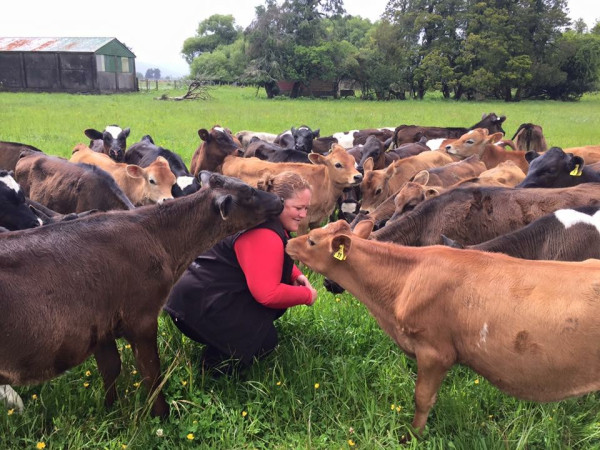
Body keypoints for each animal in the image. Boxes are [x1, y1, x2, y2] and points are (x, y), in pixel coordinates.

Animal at [0, 171, 284, 416]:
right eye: (249, 192)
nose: (280, 200)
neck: (160, 240)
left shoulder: (100, 326)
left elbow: (110, 369)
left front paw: (110, 410)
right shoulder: (142, 318)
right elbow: (151, 373)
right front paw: (162, 416)